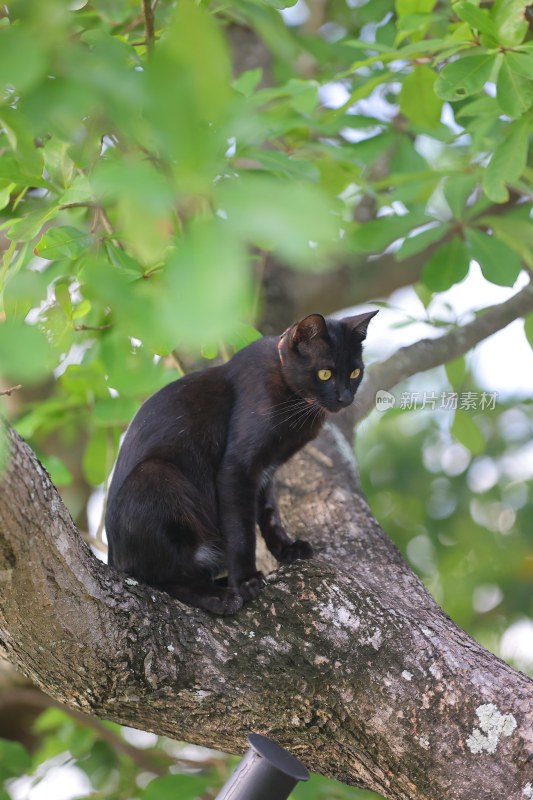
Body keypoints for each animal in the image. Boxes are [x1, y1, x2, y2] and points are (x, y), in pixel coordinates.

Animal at [106, 310, 376, 616]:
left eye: (355, 373)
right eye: (325, 373)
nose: (345, 398)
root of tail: (112, 556)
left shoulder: (266, 470)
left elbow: (269, 513)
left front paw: (287, 549)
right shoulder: (238, 467)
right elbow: (242, 531)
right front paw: (246, 581)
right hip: (156, 475)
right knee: (160, 577)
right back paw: (220, 596)